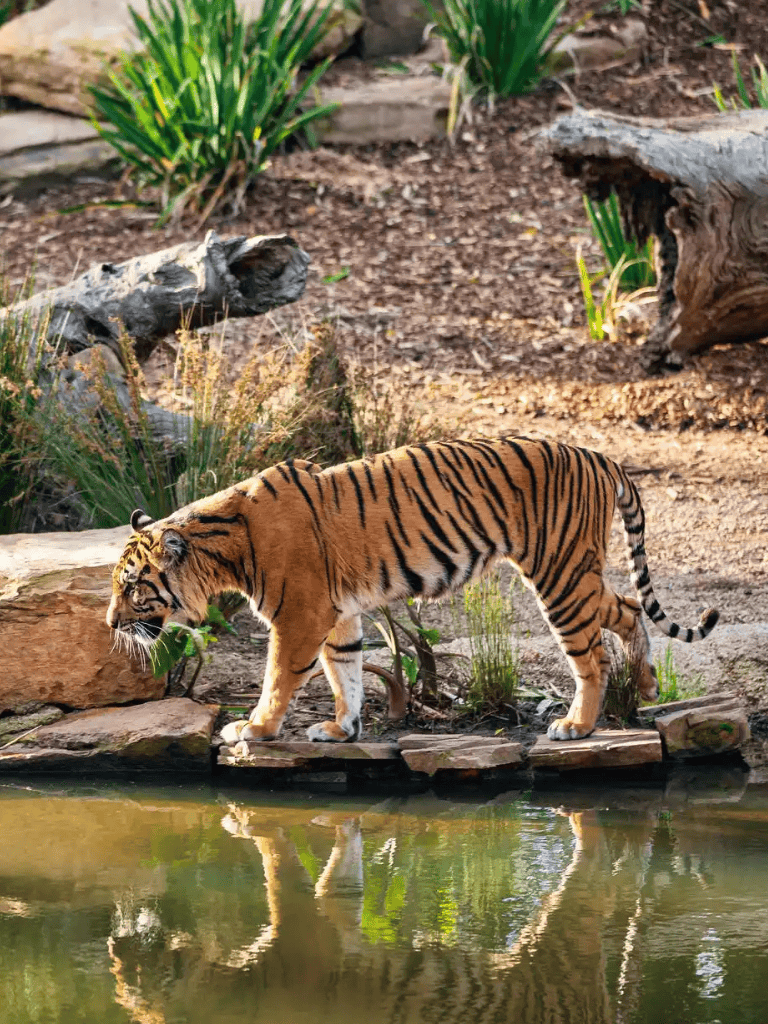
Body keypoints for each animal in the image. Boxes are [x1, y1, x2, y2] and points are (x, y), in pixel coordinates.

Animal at [106, 436, 718, 745]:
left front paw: (254, 728)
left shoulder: (299, 617)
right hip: (578, 573)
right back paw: (646, 683)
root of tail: (597, 454)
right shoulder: (338, 615)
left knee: (591, 656)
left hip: (559, 574)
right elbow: (346, 674)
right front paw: (341, 728)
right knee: (630, 607)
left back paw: (577, 724)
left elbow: (278, 679)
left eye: (134, 587)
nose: (110, 624)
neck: (223, 545)